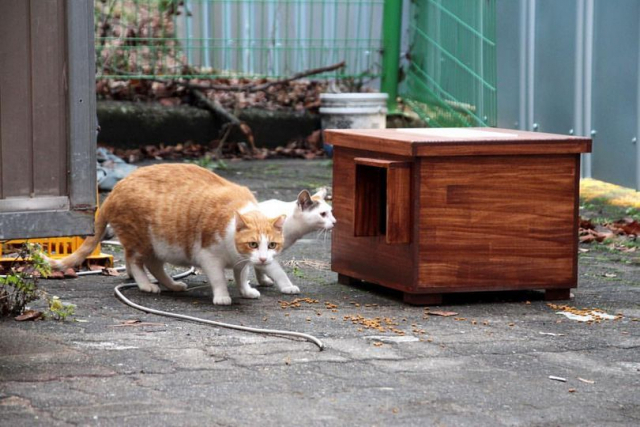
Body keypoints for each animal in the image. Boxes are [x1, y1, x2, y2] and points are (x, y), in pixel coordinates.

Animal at [51, 162, 286, 306]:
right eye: (253, 244)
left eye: (271, 245)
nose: (263, 259)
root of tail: (116, 188)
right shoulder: (208, 256)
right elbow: (219, 278)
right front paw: (222, 296)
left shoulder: (241, 260)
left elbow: (241, 275)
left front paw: (245, 290)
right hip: (142, 239)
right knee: (135, 261)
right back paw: (146, 285)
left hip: (159, 245)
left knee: (154, 265)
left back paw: (172, 285)